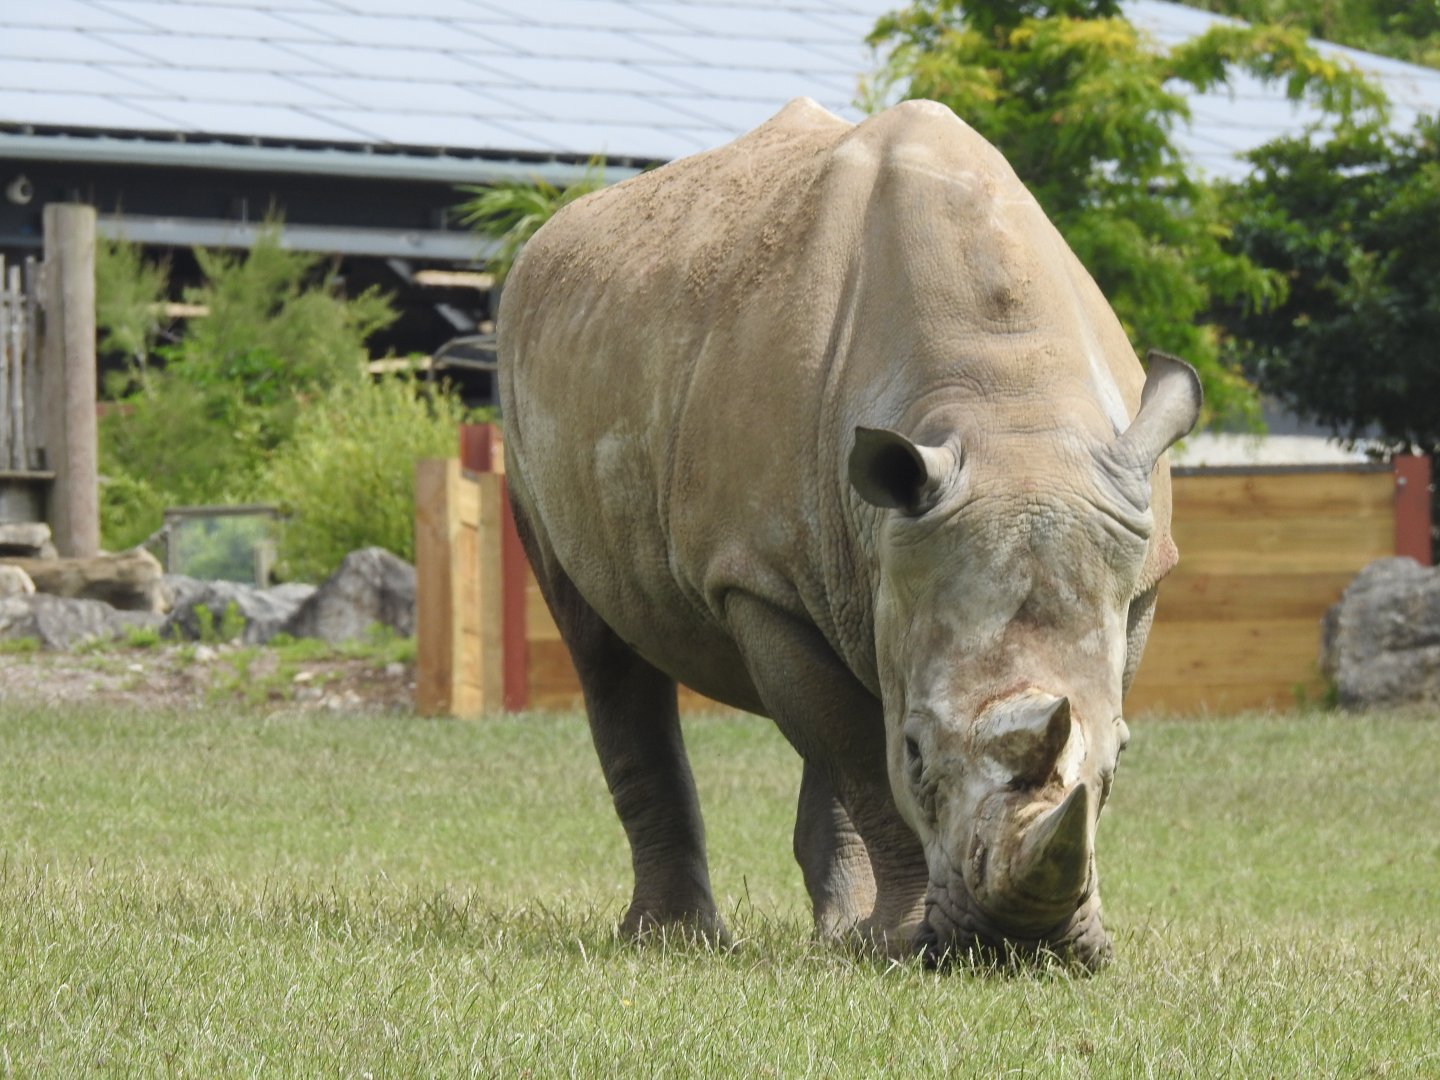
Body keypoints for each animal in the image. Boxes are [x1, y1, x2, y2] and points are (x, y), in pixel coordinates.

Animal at [497, 98, 1200, 969]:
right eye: (918, 753)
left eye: (1123, 759)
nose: (1016, 947)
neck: (1005, 413)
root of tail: (542, 245)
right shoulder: (756, 578)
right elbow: (864, 757)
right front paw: (901, 939)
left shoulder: (1135, 577)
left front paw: (883, 937)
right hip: (524, 399)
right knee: (604, 648)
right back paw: (678, 938)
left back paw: (834, 932)